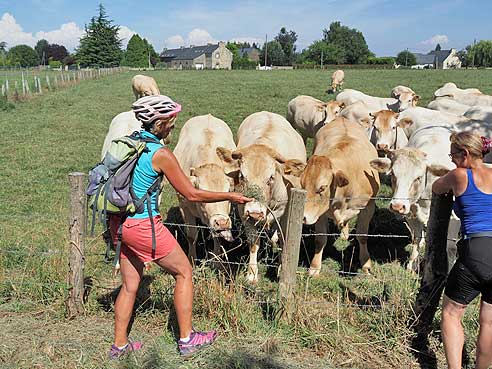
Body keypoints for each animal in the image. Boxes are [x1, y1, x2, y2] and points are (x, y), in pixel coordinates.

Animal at [173, 114, 236, 262]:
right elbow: (191, 236)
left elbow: (217, 237)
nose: (222, 222)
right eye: (202, 193)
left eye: (228, 191)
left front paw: (217, 259)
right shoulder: (184, 207)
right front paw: (192, 258)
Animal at [296, 116, 380, 274]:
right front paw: (315, 267)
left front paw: (366, 264)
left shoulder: (368, 208)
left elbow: (362, 236)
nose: (303, 217)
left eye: (322, 188)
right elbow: (320, 239)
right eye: (302, 185)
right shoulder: (320, 213)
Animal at [368, 126, 454, 270]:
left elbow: (450, 246)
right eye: (393, 174)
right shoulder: (411, 214)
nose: (397, 206)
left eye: (418, 177)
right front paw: (411, 265)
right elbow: (416, 238)